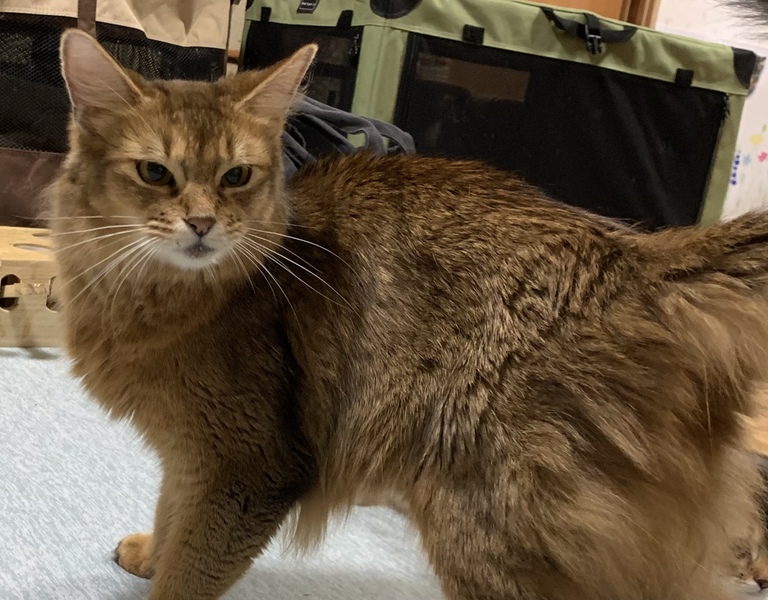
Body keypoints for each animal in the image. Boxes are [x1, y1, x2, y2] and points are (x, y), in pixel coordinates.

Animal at [50, 29, 768, 600]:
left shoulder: (248, 468)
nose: (202, 224)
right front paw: (149, 553)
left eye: (236, 177)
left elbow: (193, 565)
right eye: (155, 173)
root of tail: (640, 257)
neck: (143, 295)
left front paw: (163, 576)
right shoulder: (188, 456)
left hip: (487, 528)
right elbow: (172, 513)